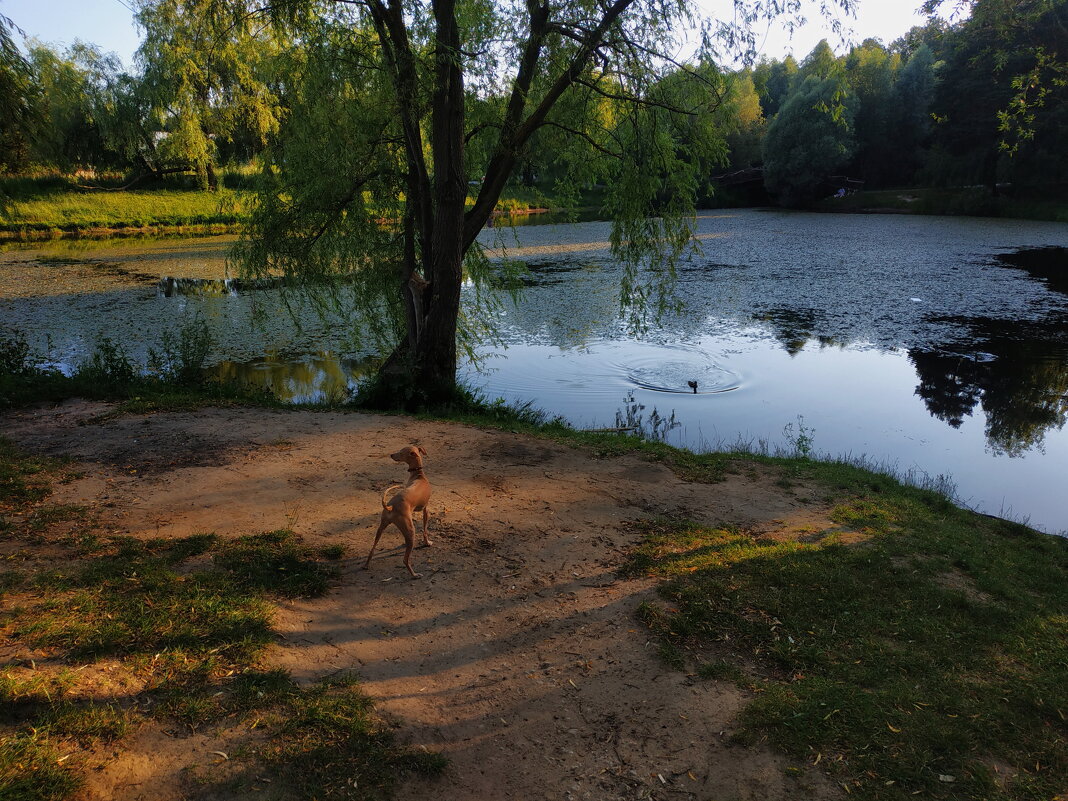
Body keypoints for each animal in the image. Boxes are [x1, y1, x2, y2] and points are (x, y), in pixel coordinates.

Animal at [365, 448, 431, 580]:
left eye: (401, 452)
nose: (391, 455)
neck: (419, 476)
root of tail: (391, 507)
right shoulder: (425, 509)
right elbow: (425, 530)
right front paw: (427, 543)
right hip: (410, 530)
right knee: (405, 560)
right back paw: (415, 575)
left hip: (381, 527)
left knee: (372, 549)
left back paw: (366, 565)